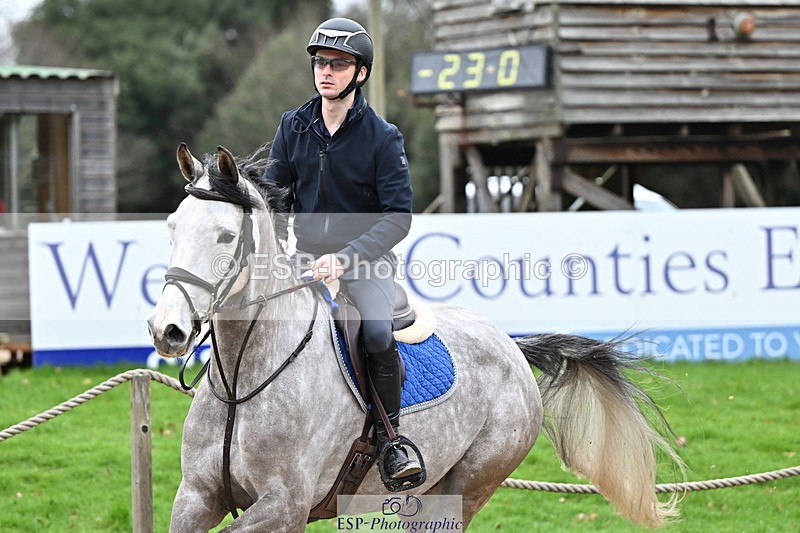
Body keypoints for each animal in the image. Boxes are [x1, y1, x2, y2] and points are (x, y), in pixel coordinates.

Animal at [147, 144, 684, 532]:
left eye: (224, 235)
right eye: (171, 227)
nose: (168, 330)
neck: (245, 380)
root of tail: (512, 346)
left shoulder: (284, 505)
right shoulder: (196, 497)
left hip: (467, 485)